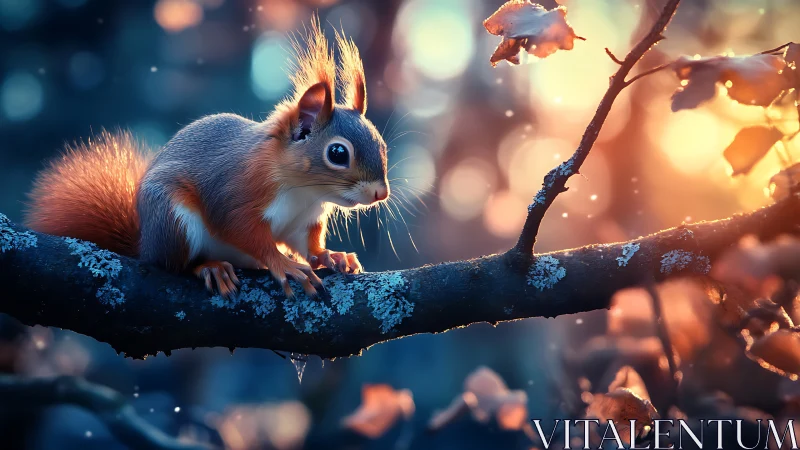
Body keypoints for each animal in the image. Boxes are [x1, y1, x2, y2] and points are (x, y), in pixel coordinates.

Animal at [24, 17, 389, 300]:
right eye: (338, 153)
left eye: (382, 145)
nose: (380, 194)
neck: (304, 191)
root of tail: (145, 245)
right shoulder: (235, 192)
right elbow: (242, 229)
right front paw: (283, 263)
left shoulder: (304, 219)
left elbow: (308, 245)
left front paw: (333, 255)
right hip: (174, 219)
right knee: (178, 265)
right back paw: (211, 268)